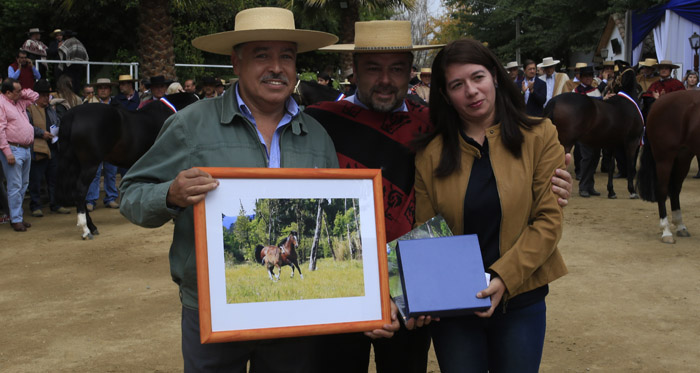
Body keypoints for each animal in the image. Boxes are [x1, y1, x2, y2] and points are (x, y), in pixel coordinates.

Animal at [56, 93, 200, 238]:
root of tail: (72, 115)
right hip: (90, 165)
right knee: (80, 192)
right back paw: (86, 229)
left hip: (76, 165)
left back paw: (92, 226)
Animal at [544, 67, 644, 201]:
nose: (607, 88)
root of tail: (554, 101)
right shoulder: (631, 142)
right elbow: (630, 164)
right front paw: (632, 191)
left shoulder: (612, 143)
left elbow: (611, 166)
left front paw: (611, 191)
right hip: (565, 143)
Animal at [636, 89, 700, 243]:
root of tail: (659, 102)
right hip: (664, 158)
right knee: (662, 190)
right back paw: (666, 231)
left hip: (684, 156)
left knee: (675, 189)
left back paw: (680, 226)